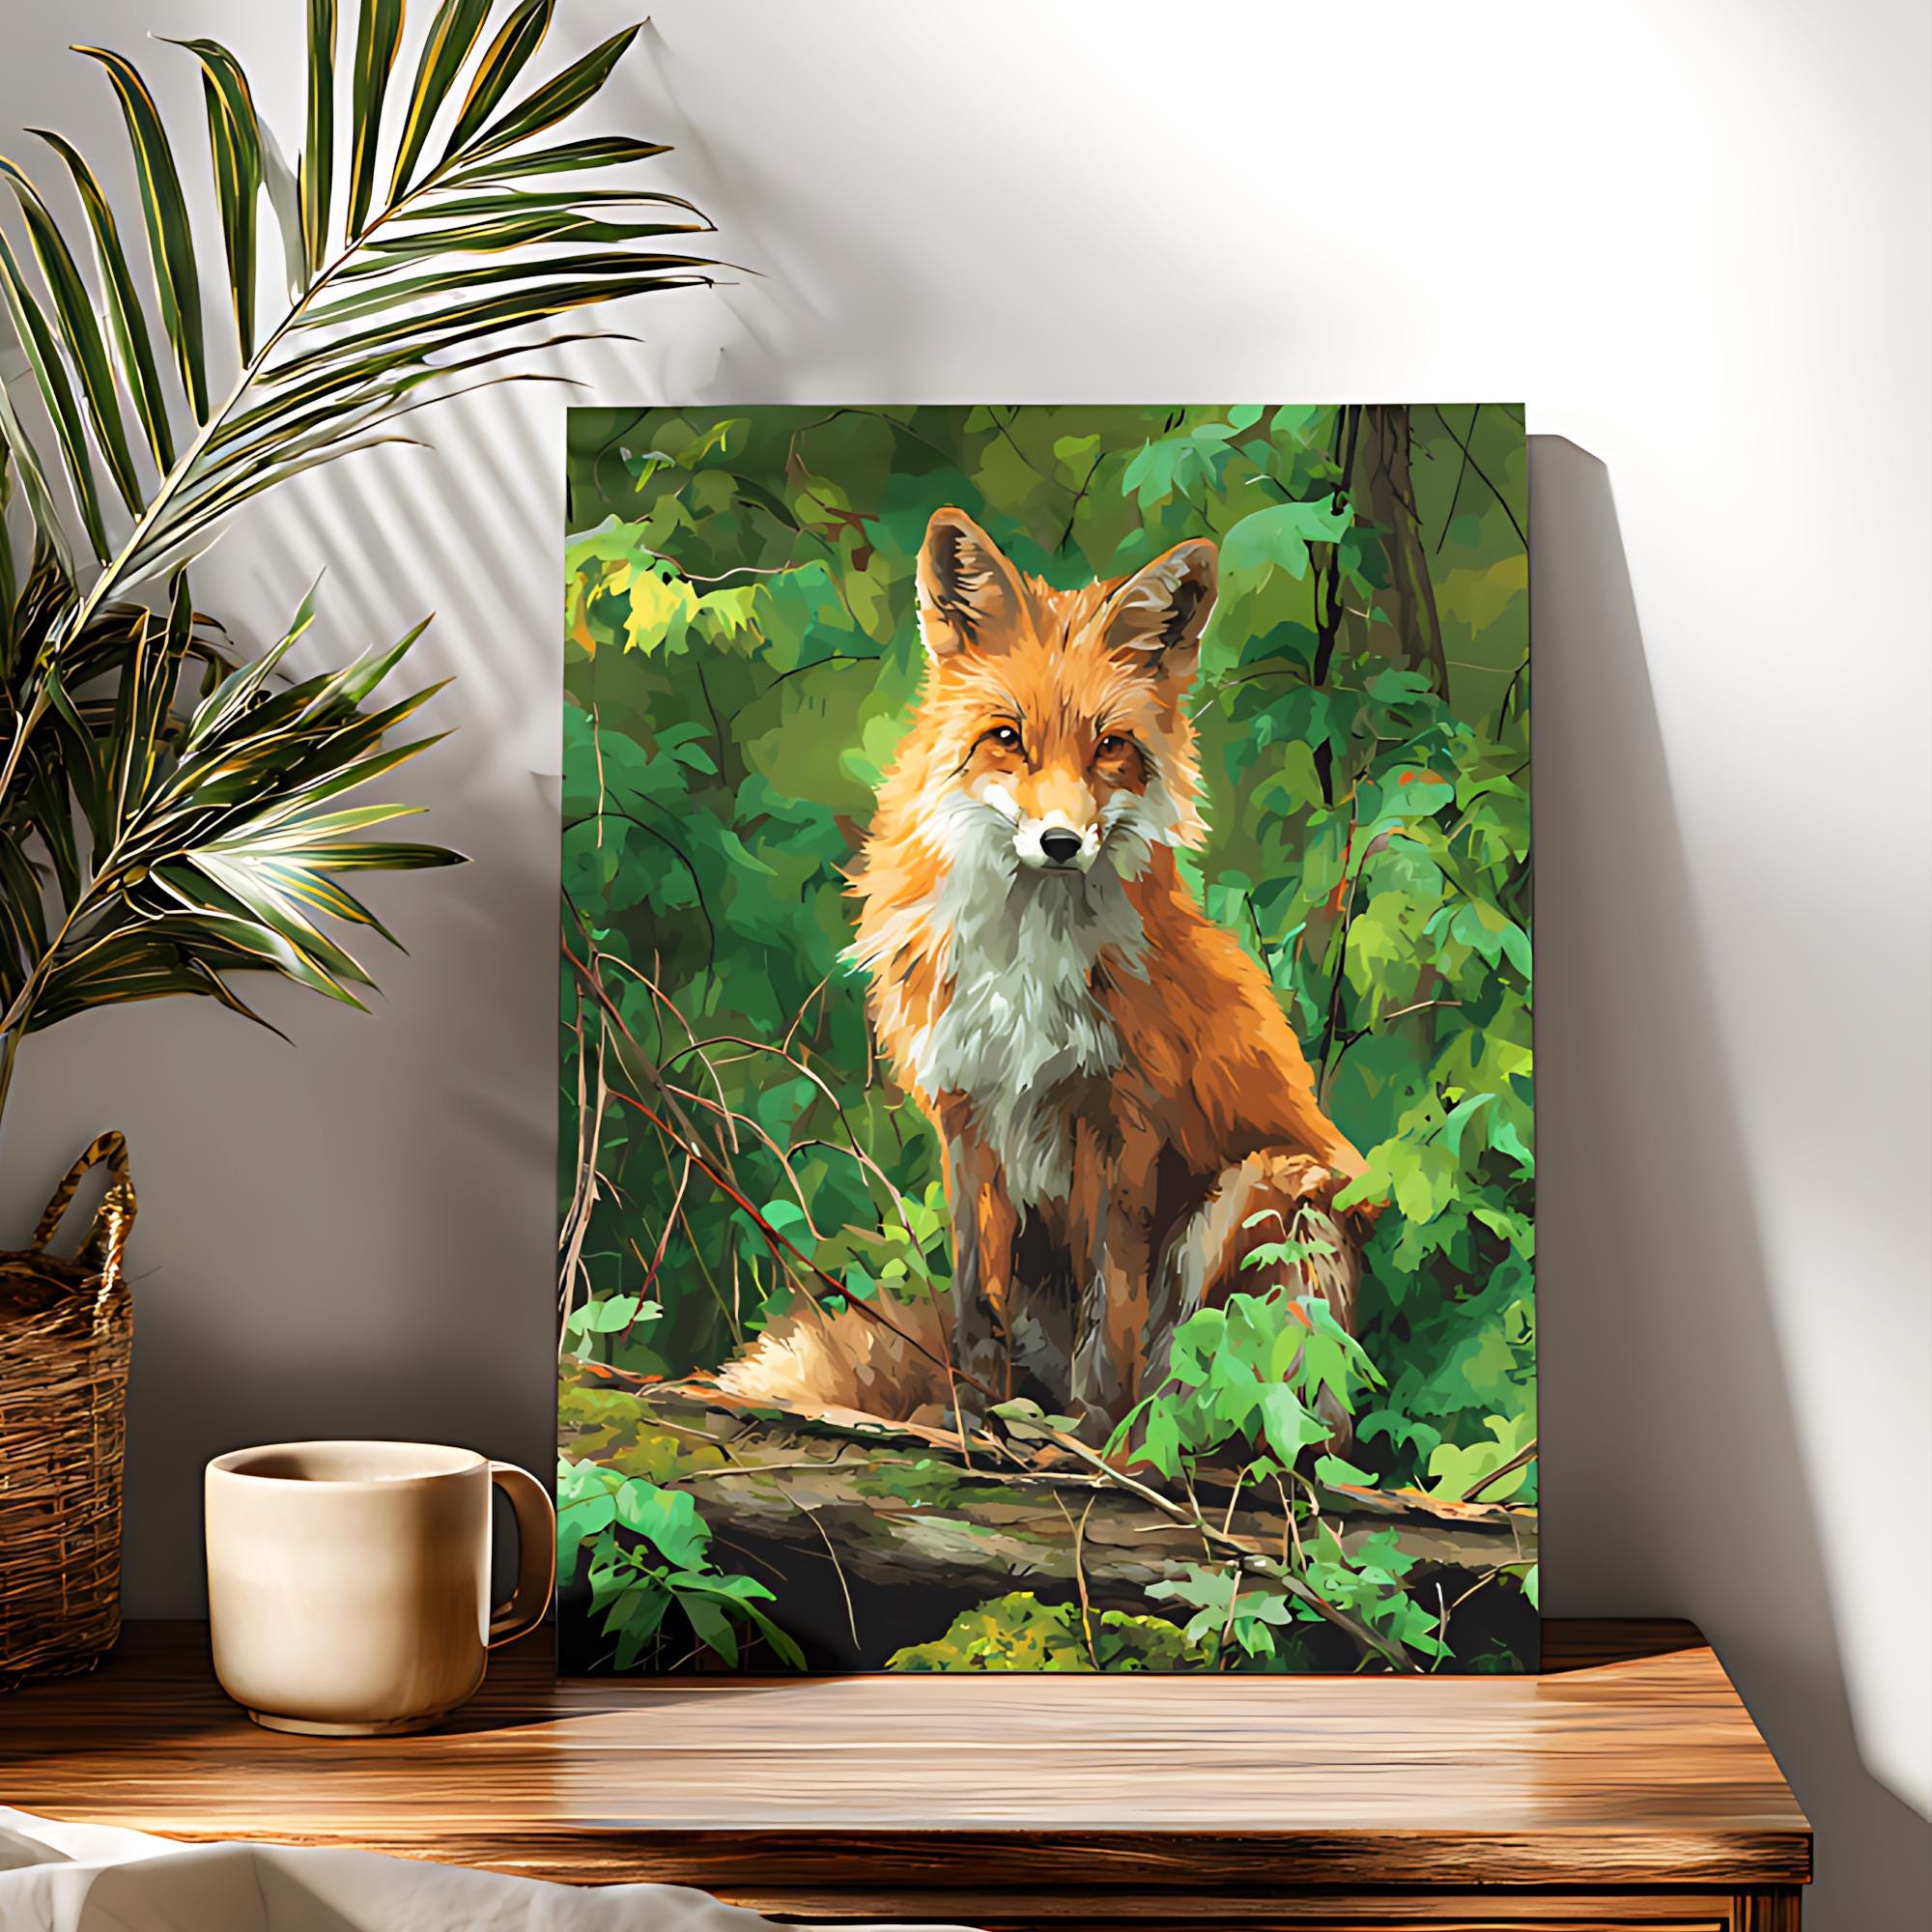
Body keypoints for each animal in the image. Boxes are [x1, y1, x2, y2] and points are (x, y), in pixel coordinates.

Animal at [814, 507, 1373, 1441]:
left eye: (1111, 747)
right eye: (1007, 738)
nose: (1061, 842)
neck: (1022, 966)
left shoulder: (1122, 1121)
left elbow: (1110, 1310)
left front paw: (1084, 1436)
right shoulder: (966, 1113)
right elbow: (972, 1296)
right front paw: (972, 1415)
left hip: (1263, 1192)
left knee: (1226, 1402)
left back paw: (1150, 1446)